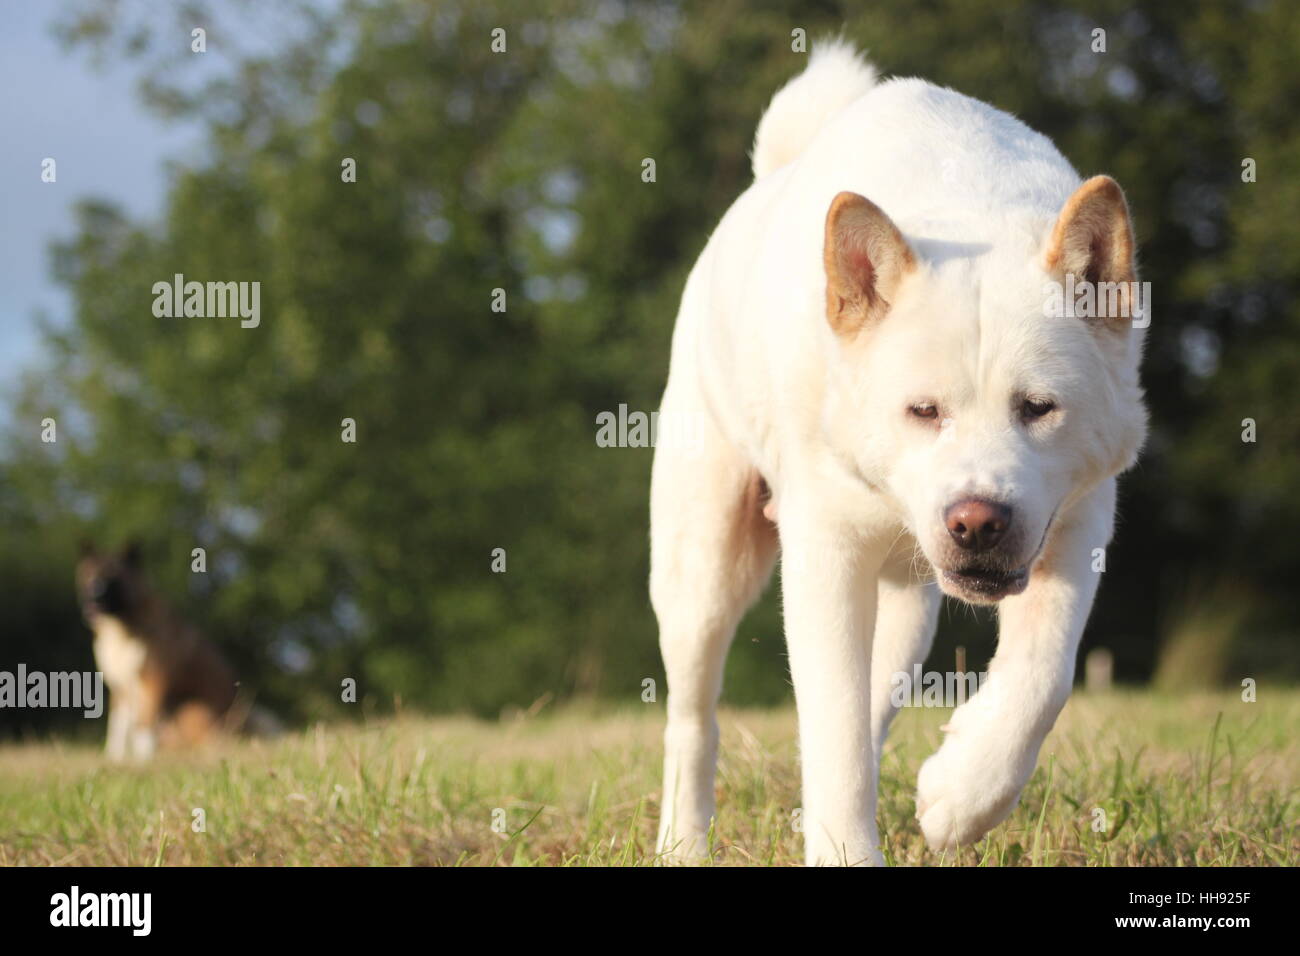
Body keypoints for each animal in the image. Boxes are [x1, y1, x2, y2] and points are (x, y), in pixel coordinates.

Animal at [75, 541, 266, 759]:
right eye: (88, 574)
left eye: (113, 577)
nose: (94, 596)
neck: (121, 628)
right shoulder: (120, 685)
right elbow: (118, 727)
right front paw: (115, 758)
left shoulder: (154, 679)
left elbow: (144, 725)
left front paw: (144, 760)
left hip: (191, 709)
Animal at [655, 39, 1144, 868]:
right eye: (923, 411)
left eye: (1037, 408)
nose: (977, 522)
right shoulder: (824, 555)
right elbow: (832, 729)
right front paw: (848, 850)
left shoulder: (1078, 522)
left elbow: (1045, 674)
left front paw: (958, 797)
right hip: (703, 565)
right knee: (694, 716)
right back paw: (681, 844)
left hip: (908, 611)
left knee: (876, 704)